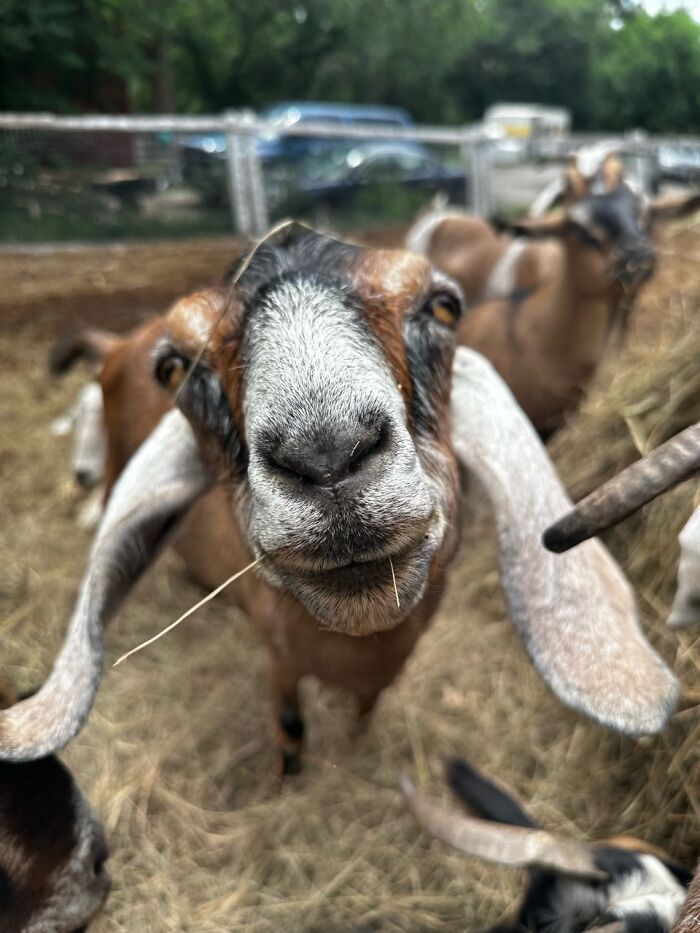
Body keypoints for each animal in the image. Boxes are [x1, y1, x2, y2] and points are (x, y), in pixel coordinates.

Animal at [4, 224, 681, 774]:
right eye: (175, 368)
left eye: (443, 307)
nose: (325, 453)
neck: (356, 647)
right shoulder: (278, 659)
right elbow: (290, 726)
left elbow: (363, 716)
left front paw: (354, 753)